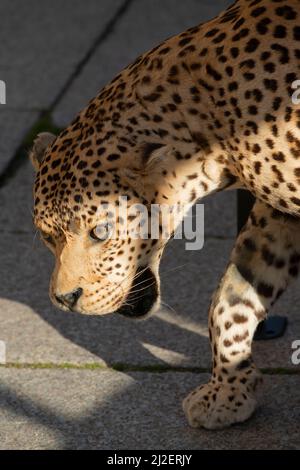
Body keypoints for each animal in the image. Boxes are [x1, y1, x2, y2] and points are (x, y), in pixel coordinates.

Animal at [29, 0, 300, 430]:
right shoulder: (276, 213)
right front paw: (229, 392)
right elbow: (231, 298)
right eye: (46, 236)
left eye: (100, 232)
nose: (65, 299)